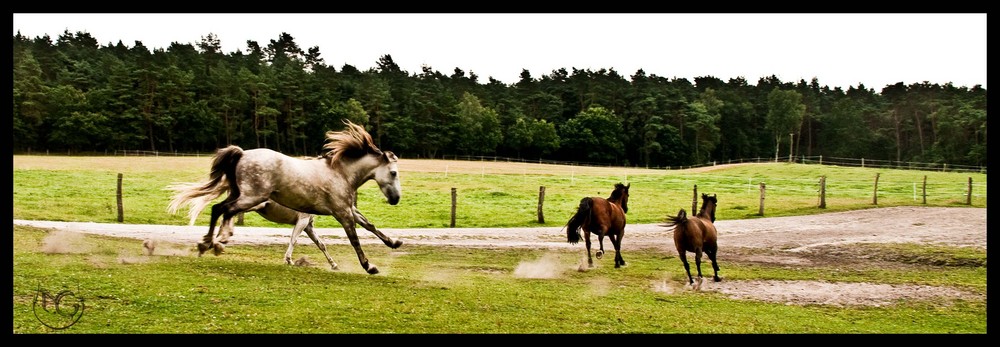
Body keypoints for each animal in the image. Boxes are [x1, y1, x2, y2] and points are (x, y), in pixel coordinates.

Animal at [167, 121, 398, 276]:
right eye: (394, 173)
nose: (395, 199)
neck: (340, 173)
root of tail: (242, 153)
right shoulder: (338, 214)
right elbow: (352, 239)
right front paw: (369, 266)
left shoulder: (342, 212)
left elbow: (366, 227)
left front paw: (394, 242)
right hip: (251, 197)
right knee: (224, 210)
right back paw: (216, 242)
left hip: (242, 195)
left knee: (221, 209)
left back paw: (209, 243)